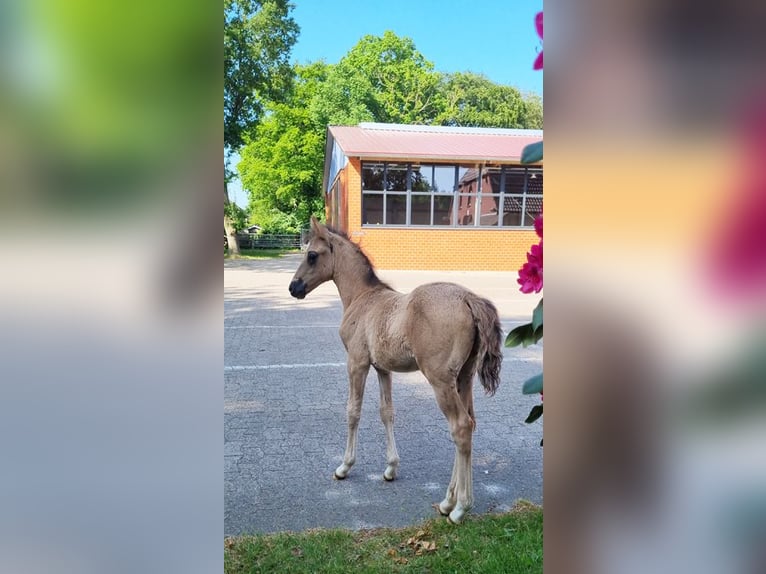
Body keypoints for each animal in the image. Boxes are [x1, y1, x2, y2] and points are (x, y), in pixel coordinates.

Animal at [288, 217, 504, 528]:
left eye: (312, 255)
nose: (294, 288)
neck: (362, 298)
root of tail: (469, 299)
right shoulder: (382, 369)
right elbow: (386, 412)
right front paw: (390, 468)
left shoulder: (357, 363)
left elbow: (353, 411)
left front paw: (344, 466)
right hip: (464, 377)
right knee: (470, 424)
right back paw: (447, 502)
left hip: (440, 379)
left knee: (460, 427)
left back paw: (459, 508)